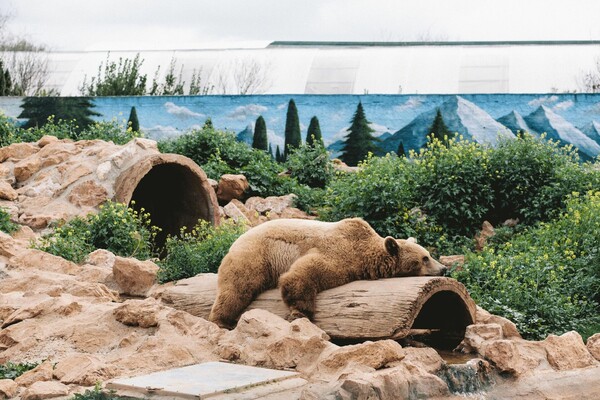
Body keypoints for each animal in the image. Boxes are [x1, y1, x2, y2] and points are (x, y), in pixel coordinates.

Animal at [209, 219, 448, 328]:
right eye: (425, 258)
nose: (444, 268)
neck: (365, 252)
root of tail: (234, 241)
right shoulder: (340, 253)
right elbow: (305, 272)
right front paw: (301, 312)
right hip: (255, 257)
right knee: (237, 288)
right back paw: (221, 320)